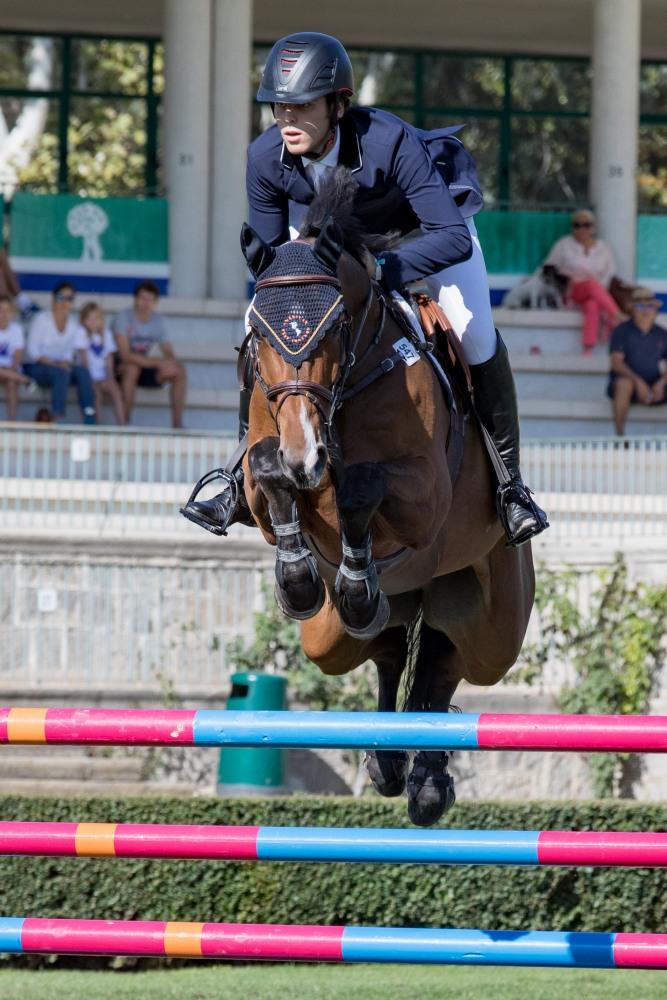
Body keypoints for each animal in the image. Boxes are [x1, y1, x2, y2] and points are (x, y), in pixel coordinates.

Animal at [237, 170, 536, 828]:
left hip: (493, 626)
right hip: (328, 640)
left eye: (333, 329)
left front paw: (350, 574)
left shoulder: (425, 498)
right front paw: (300, 579)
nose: (307, 455)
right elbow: (269, 475)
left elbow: (360, 486)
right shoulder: (262, 475)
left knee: (448, 658)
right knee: (391, 643)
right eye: (257, 336)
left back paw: (425, 780)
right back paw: (389, 757)